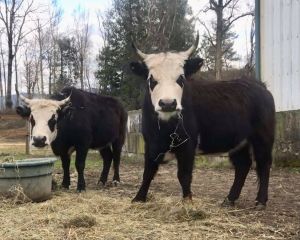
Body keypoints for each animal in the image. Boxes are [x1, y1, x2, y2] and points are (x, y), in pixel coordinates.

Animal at [130, 33, 276, 208]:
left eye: (181, 78)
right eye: (151, 79)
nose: (168, 103)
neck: (164, 128)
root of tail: (260, 86)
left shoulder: (188, 145)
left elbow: (184, 175)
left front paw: (187, 201)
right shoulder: (150, 143)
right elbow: (148, 172)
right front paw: (138, 198)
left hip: (263, 137)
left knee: (264, 164)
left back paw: (260, 201)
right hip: (239, 142)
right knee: (243, 165)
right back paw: (229, 199)